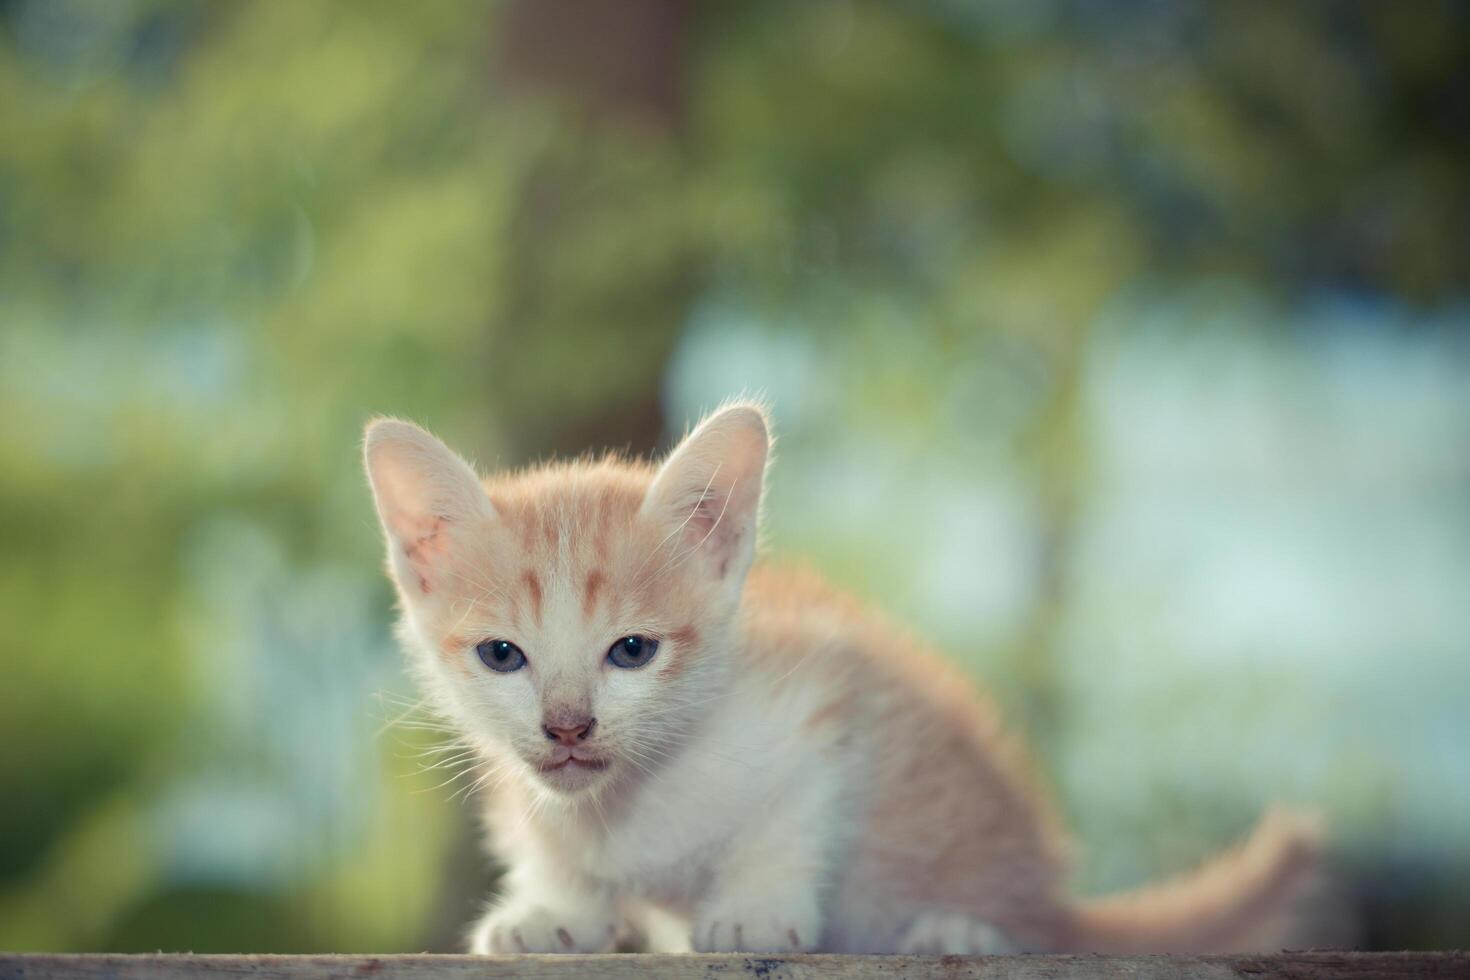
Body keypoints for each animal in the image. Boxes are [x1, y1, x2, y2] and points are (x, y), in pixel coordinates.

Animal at [364, 402, 1323, 952]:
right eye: (502, 656)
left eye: (631, 651)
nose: (567, 725)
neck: (635, 804)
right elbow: (552, 847)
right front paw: (555, 907)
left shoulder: (823, 696)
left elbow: (793, 815)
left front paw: (755, 906)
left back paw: (957, 931)